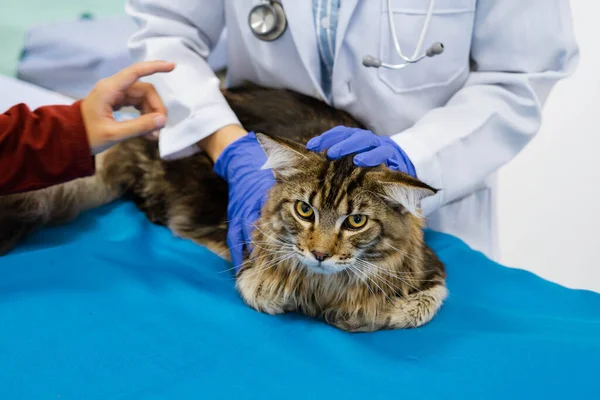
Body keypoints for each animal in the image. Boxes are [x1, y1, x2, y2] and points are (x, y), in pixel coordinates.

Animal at [0, 86, 446, 332]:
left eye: (355, 221)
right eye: (305, 211)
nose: (319, 254)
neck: (324, 288)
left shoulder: (430, 273)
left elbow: (414, 308)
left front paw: (354, 313)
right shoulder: (253, 267)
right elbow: (267, 288)